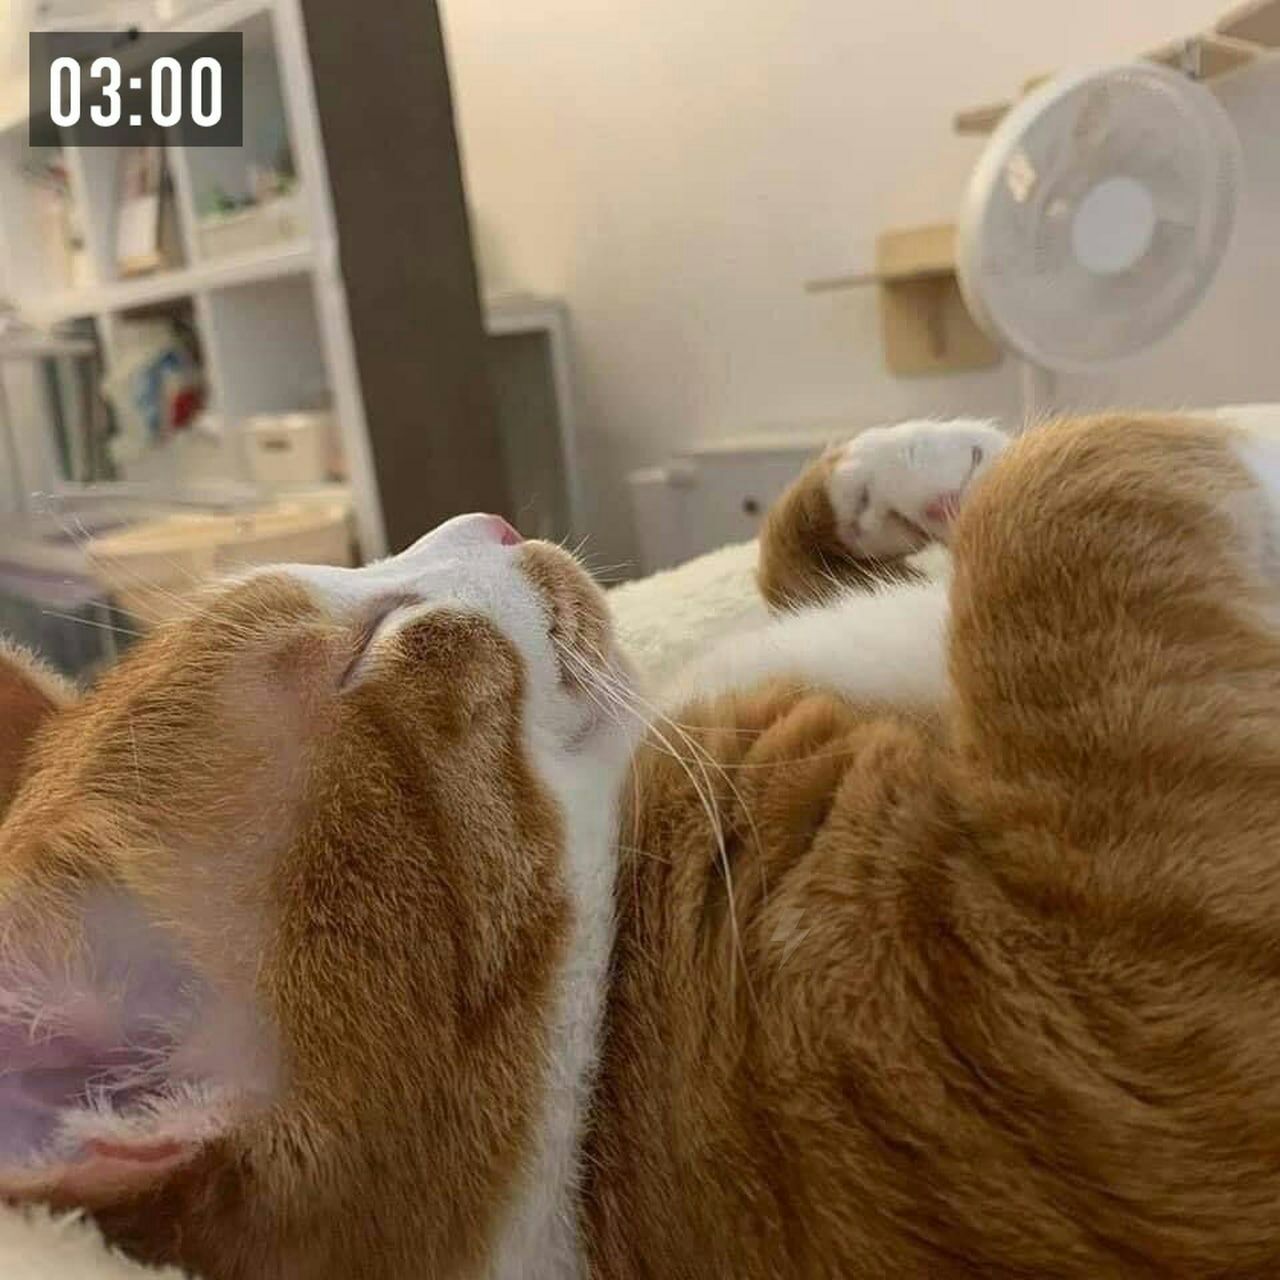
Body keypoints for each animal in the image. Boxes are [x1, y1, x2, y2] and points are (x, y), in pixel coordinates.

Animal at [3, 413, 1280, 1278]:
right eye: (381, 640)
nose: (489, 520)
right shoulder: (1115, 1025)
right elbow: (1063, 491)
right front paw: (1221, 427)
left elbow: (797, 571)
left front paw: (898, 471)